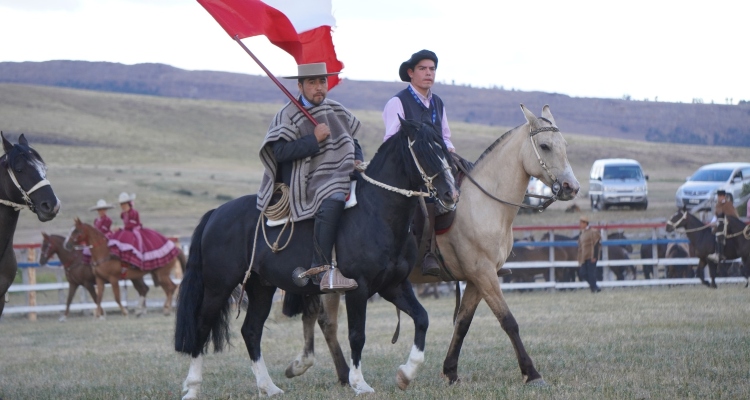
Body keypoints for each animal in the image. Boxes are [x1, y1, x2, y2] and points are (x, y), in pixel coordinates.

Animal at [175, 116, 458, 396]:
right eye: (423, 150)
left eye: (444, 149)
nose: (451, 194)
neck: (377, 214)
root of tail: (216, 213)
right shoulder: (358, 287)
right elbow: (357, 335)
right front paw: (359, 383)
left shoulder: (393, 285)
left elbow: (422, 318)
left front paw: (405, 374)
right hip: (218, 286)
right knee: (201, 328)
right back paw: (192, 388)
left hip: (261, 287)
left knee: (251, 331)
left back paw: (269, 387)